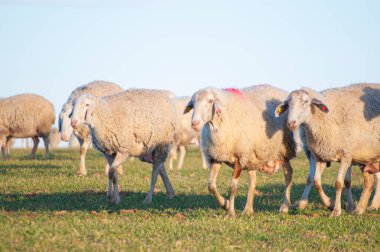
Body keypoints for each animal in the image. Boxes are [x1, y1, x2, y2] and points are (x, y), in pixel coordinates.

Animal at [184, 85, 296, 217]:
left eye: (210, 101)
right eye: (193, 104)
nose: (194, 123)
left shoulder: (239, 156)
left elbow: (232, 186)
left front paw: (230, 213)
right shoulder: (217, 156)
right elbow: (211, 185)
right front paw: (226, 204)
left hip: (283, 149)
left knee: (288, 173)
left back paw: (284, 206)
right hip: (252, 155)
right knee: (253, 179)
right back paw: (248, 209)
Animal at [276, 83, 380, 217]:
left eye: (306, 101)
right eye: (288, 104)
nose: (291, 123)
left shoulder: (346, 156)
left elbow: (340, 183)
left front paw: (336, 210)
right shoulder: (320, 155)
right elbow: (315, 181)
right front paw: (329, 203)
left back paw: (371, 206)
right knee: (371, 180)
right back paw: (362, 208)